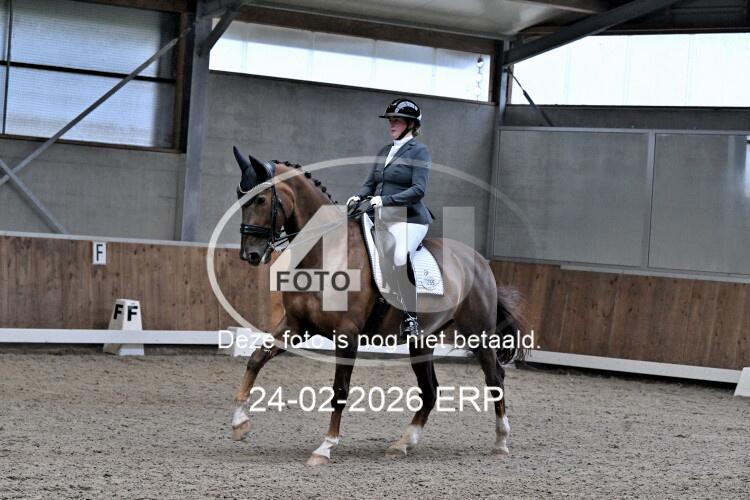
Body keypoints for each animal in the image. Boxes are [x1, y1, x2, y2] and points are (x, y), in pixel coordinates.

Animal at [229, 147, 527, 466]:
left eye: (261, 199)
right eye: (240, 197)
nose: (250, 254)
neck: (326, 251)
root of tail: (479, 261)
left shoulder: (346, 335)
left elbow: (340, 390)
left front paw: (325, 447)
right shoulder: (296, 326)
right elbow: (256, 359)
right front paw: (239, 423)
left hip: (478, 334)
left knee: (495, 378)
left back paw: (501, 442)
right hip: (421, 341)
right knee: (430, 390)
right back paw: (403, 444)